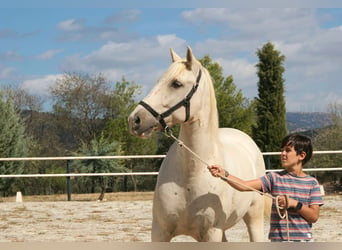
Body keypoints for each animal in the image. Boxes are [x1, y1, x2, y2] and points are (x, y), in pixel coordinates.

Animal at [128, 47, 268, 242]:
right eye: (158, 81)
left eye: (176, 83)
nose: (135, 119)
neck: (192, 174)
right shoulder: (159, 232)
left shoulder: (211, 233)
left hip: (254, 216)